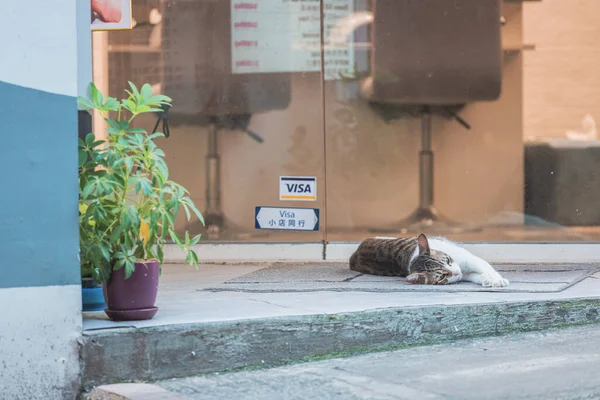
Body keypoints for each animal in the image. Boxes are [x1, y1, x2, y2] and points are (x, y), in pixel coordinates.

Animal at [350, 234, 508, 288]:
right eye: (442, 276)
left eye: (448, 259)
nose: (457, 272)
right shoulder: (464, 274)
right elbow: (476, 275)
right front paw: (486, 279)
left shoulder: (468, 260)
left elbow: (485, 266)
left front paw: (496, 279)